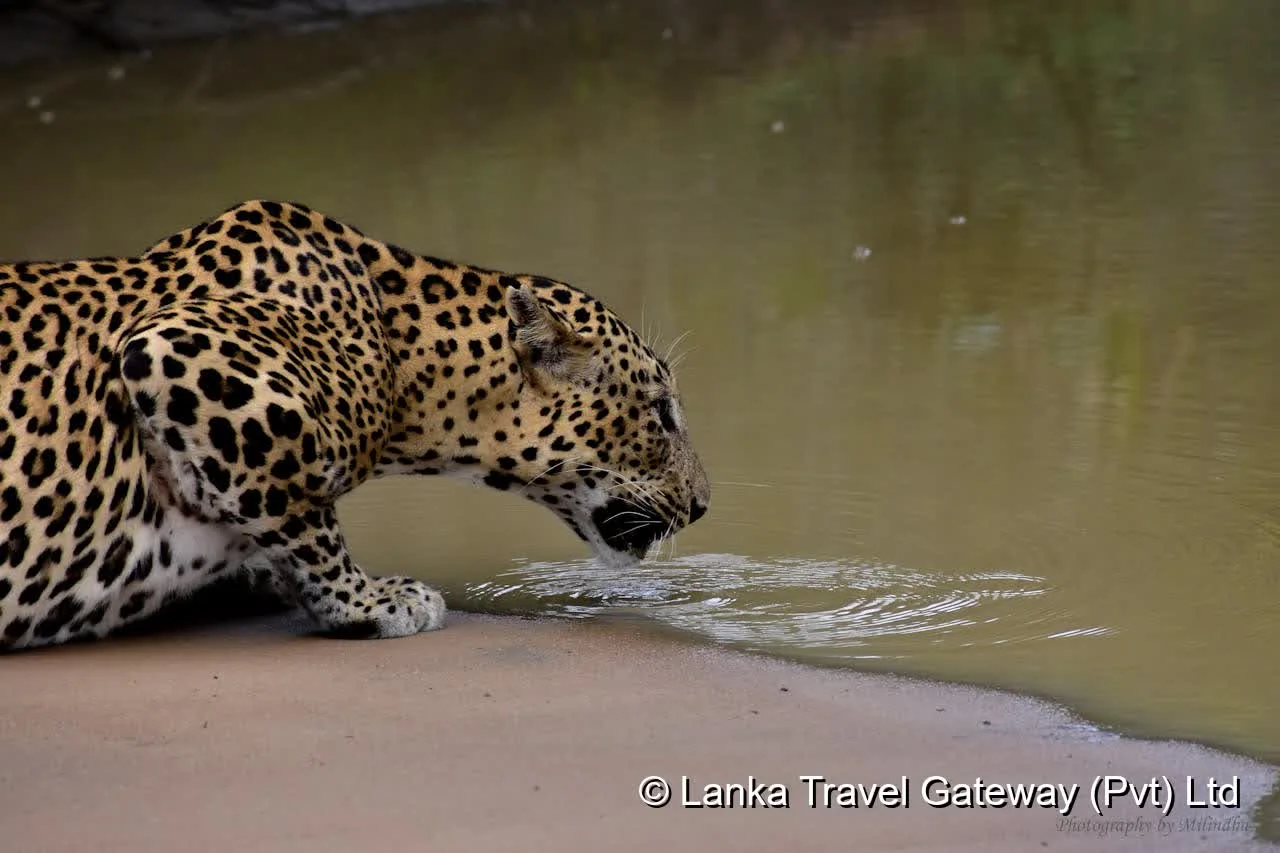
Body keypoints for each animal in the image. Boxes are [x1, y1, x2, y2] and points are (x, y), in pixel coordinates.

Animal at [0, 200, 709, 650]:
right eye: (661, 413)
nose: (703, 505)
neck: (405, 363)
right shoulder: (178, 350)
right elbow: (300, 510)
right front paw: (371, 601)